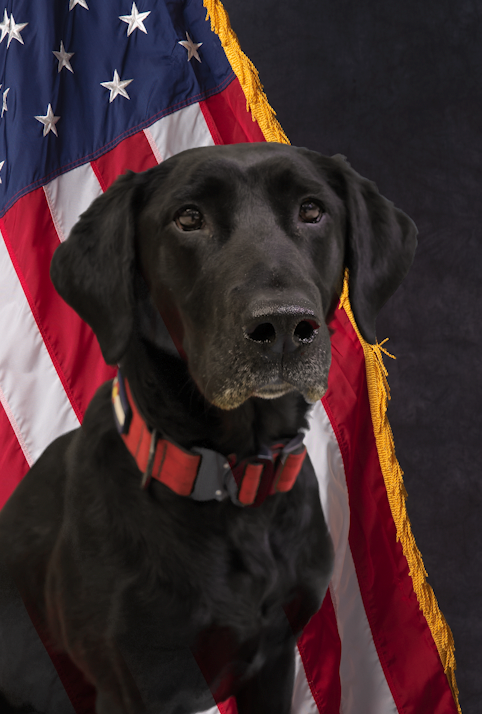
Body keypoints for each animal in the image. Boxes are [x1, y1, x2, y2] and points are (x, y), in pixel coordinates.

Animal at [0, 143, 416, 712]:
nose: (283, 325)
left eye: (312, 210)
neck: (235, 482)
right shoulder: (131, 685)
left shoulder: (274, 658)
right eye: (188, 218)